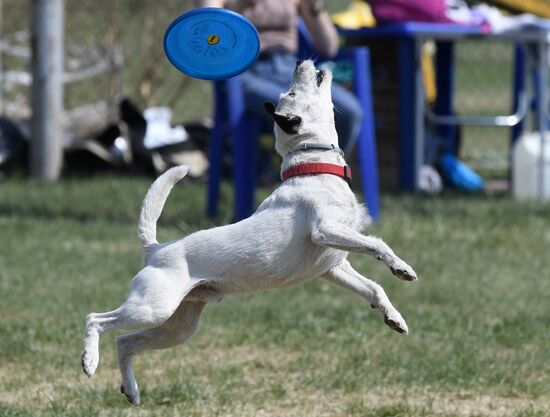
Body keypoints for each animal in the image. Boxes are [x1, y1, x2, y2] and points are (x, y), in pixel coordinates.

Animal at [82, 60, 416, 404]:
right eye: (291, 93)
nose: (301, 62)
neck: (312, 169)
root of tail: (156, 249)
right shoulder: (325, 231)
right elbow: (377, 244)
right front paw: (401, 267)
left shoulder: (333, 267)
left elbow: (374, 289)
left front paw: (394, 317)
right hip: (152, 308)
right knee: (95, 320)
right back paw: (90, 361)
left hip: (176, 326)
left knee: (124, 342)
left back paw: (131, 390)